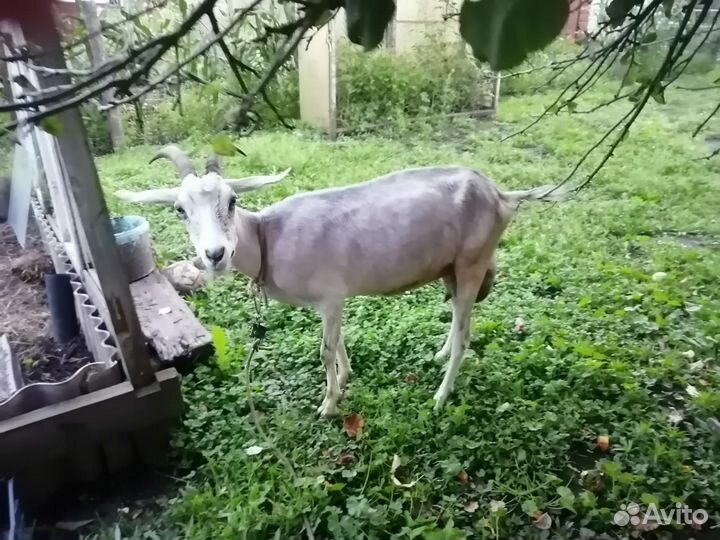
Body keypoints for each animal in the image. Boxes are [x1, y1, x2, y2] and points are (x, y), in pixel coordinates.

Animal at [116, 145, 568, 416]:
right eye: (179, 209)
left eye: (232, 200)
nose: (214, 255)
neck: (268, 237)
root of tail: (502, 195)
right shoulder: (334, 299)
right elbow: (339, 342)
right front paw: (346, 377)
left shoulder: (330, 296)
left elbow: (324, 350)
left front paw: (330, 404)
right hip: (452, 269)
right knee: (461, 318)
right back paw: (439, 356)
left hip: (473, 262)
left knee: (465, 336)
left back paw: (440, 397)